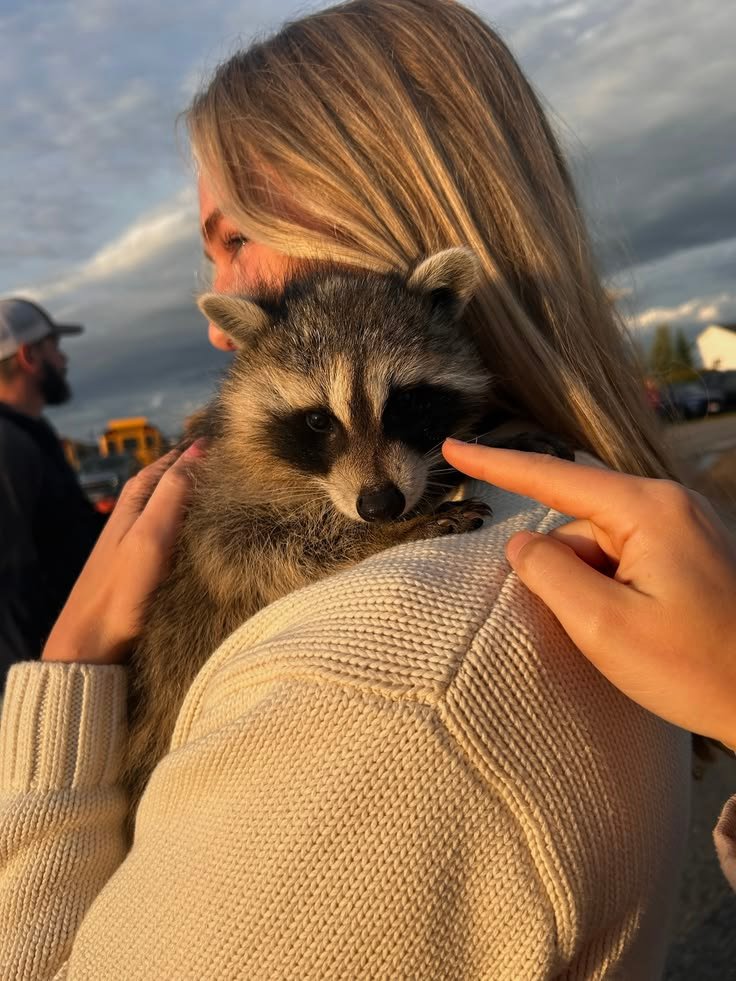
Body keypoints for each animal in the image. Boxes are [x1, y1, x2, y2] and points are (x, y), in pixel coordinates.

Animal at [124, 247, 561, 820]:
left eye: (405, 405)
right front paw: (393, 532)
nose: (381, 507)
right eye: (317, 421)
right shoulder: (216, 502)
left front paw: (467, 456)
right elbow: (256, 551)